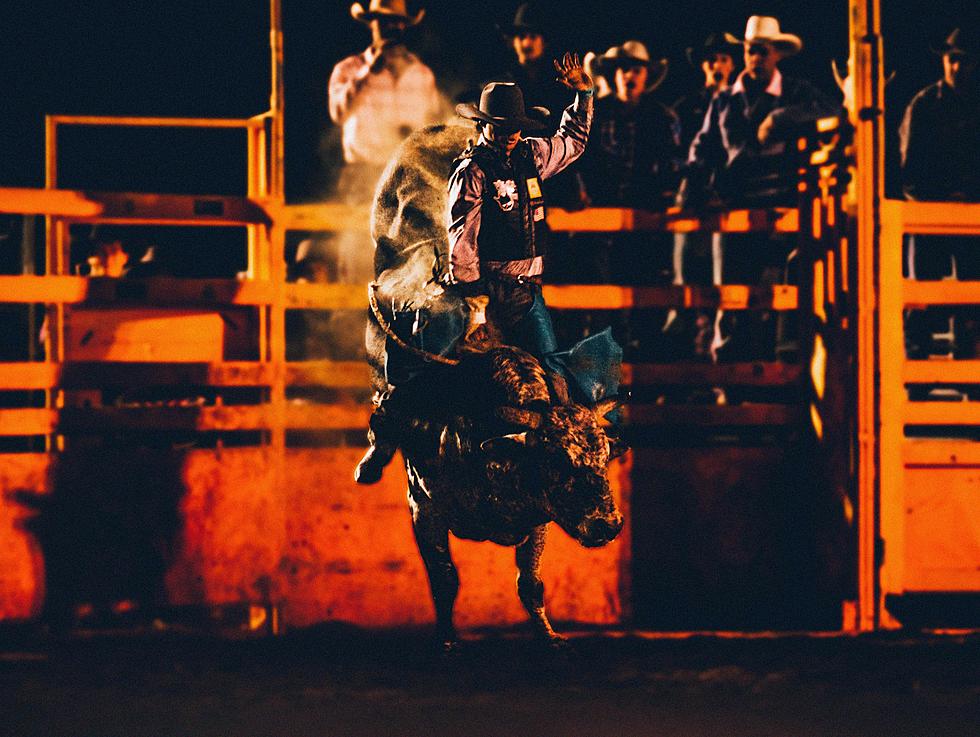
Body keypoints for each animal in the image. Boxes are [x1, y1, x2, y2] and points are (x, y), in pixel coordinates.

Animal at [364, 123, 624, 648]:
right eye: (556, 459)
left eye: (605, 455)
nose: (607, 525)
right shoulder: (423, 508)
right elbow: (445, 579)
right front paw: (447, 639)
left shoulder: (538, 517)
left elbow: (531, 582)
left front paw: (549, 636)